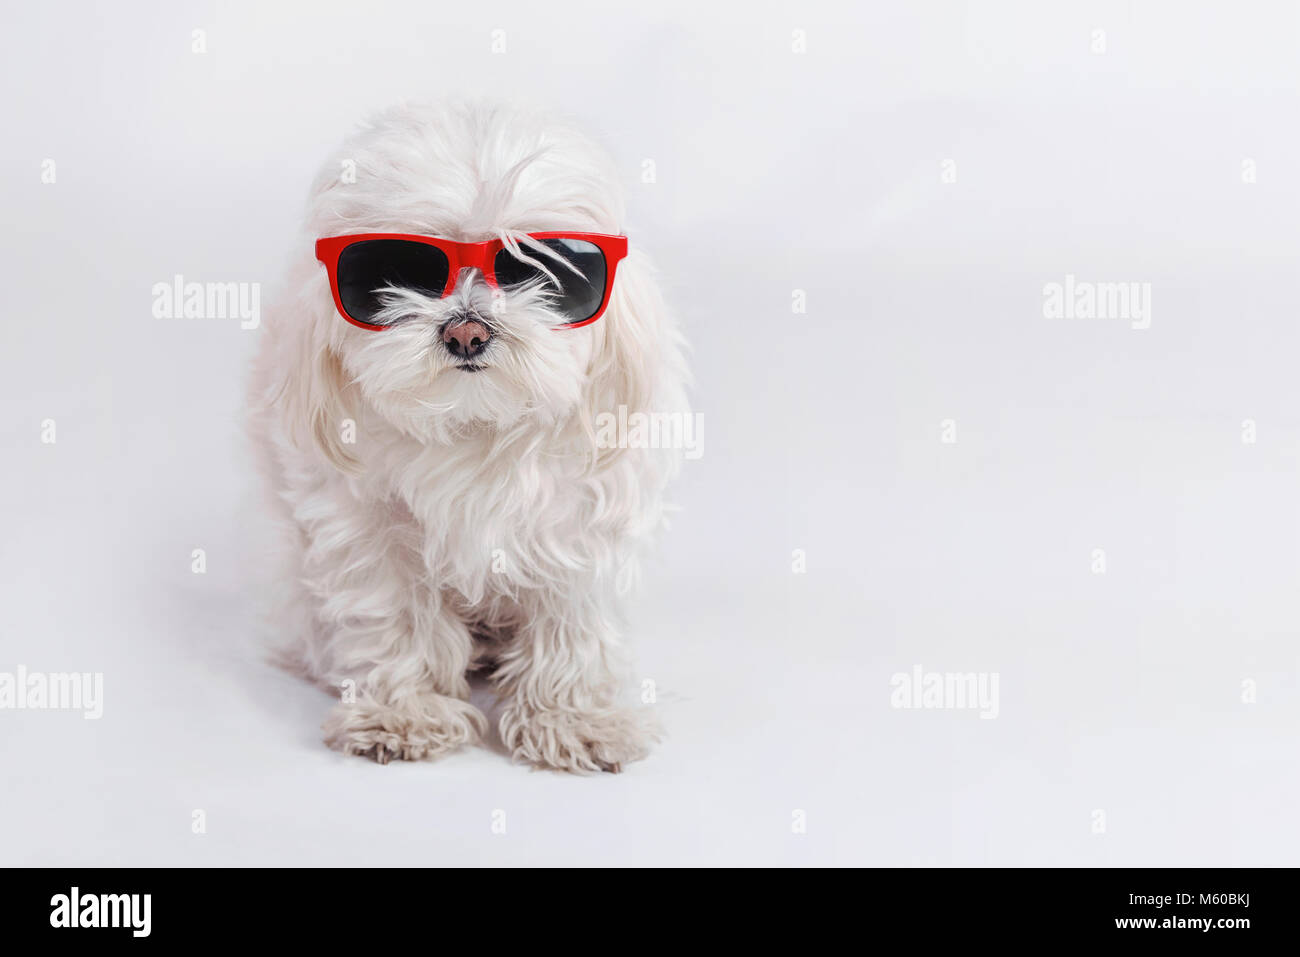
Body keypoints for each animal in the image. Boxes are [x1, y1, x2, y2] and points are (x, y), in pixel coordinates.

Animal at [245, 98, 691, 769]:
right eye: (395, 270)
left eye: (543, 270)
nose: (467, 331)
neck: (474, 428)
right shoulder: (367, 529)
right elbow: (395, 616)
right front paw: (404, 712)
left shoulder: (582, 524)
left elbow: (573, 620)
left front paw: (572, 717)